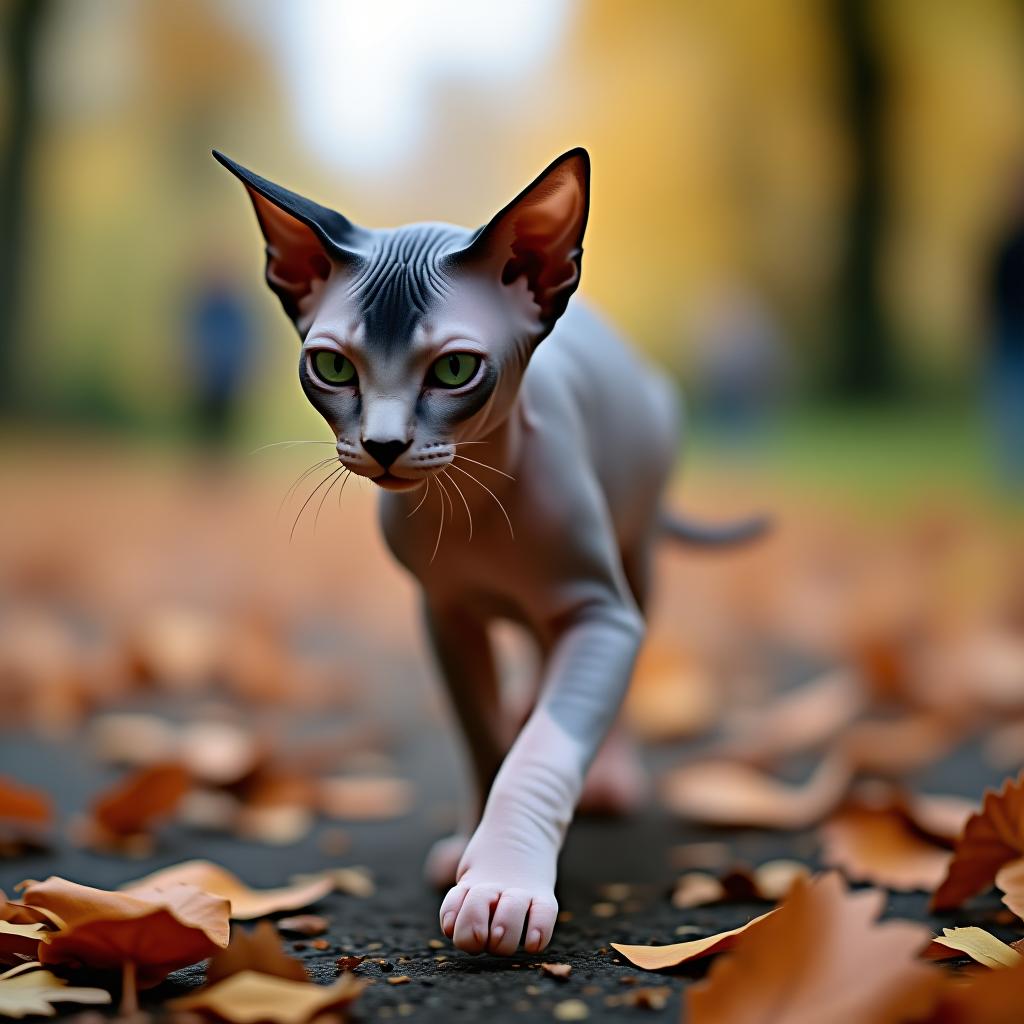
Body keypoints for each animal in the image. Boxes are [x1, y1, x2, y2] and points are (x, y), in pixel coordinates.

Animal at [214, 148, 761, 954]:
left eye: (453, 371)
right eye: (334, 369)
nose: (383, 446)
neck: (469, 503)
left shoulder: (600, 615)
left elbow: (542, 749)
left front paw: (503, 883)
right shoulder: (445, 614)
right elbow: (482, 737)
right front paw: (472, 844)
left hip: (632, 559)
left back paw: (608, 775)